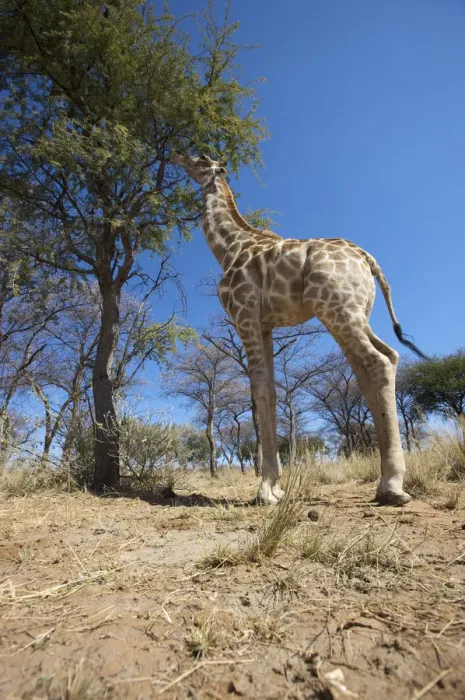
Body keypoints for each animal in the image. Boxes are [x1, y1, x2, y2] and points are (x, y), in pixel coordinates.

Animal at [171, 152, 426, 506]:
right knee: (380, 362)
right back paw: (385, 482)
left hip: (336, 308)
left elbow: (260, 390)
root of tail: (367, 259)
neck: (229, 248)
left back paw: (392, 486)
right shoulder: (265, 324)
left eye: (201, 158)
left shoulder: (244, 315)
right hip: (355, 313)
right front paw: (276, 487)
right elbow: (272, 390)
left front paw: (265, 490)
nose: (176, 155)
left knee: (379, 361)